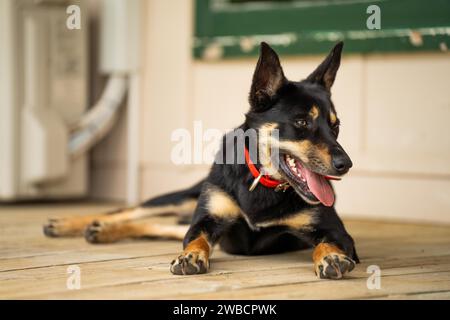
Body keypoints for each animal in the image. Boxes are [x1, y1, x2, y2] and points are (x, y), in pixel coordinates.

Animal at [44, 42, 358, 280]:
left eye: (336, 126)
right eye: (302, 122)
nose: (346, 164)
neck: (261, 182)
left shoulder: (337, 234)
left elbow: (327, 244)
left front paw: (331, 257)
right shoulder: (207, 219)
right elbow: (194, 239)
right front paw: (191, 256)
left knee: (160, 226)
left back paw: (102, 231)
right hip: (183, 197)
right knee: (128, 211)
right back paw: (70, 223)